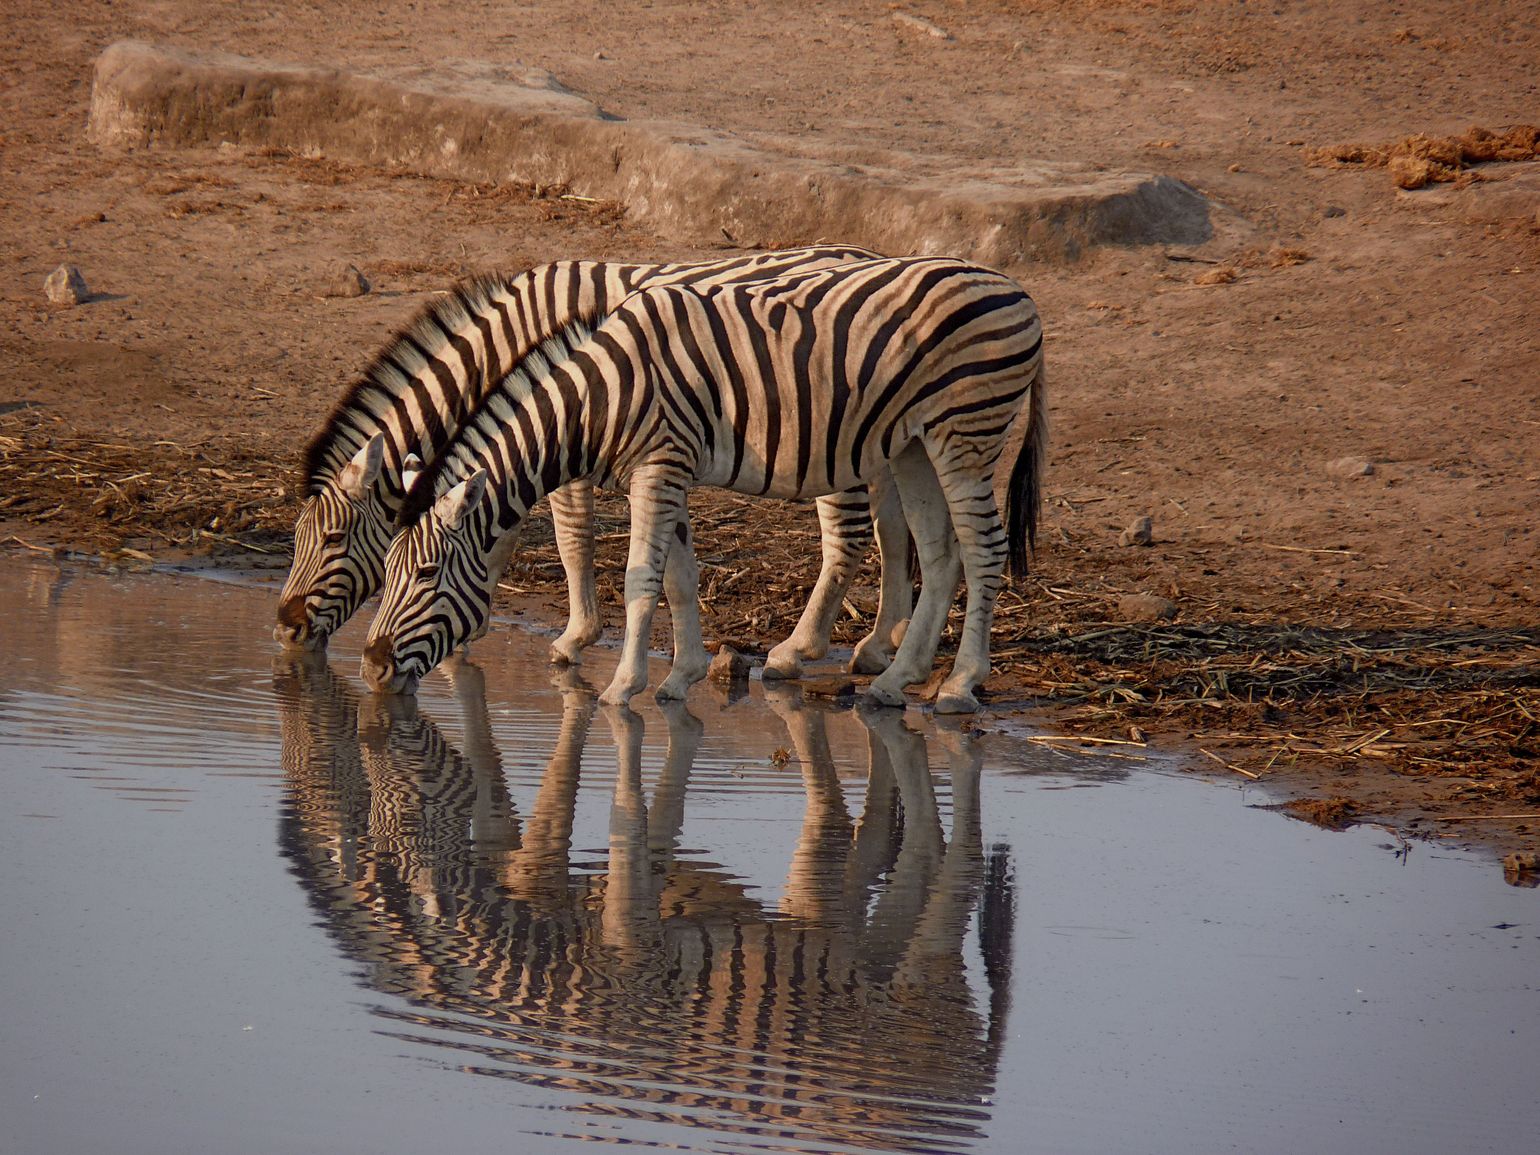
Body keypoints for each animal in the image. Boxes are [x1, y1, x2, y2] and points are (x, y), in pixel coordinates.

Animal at [273, 244, 916, 680]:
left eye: (332, 540)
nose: (285, 629)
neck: (511, 337)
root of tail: (867, 253)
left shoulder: (567, 431)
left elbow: (568, 536)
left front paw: (571, 637)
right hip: (881, 443)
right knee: (895, 529)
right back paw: (881, 643)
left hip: (834, 442)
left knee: (849, 537)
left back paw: (798, 650)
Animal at [362, 255, 1047, 714]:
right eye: (383, 573)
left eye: (424, 576)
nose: (371, 666)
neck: (597, 398)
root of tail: (1016, 290)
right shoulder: (668, 470)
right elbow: (679, 576)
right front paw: (681, 676)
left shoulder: (658, 466)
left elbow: (640, 575)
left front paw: (621, 687)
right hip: (913, 443)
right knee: (941, 551)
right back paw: (893, 680)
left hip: (964, 433)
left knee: (983, 549)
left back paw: (958, 685)